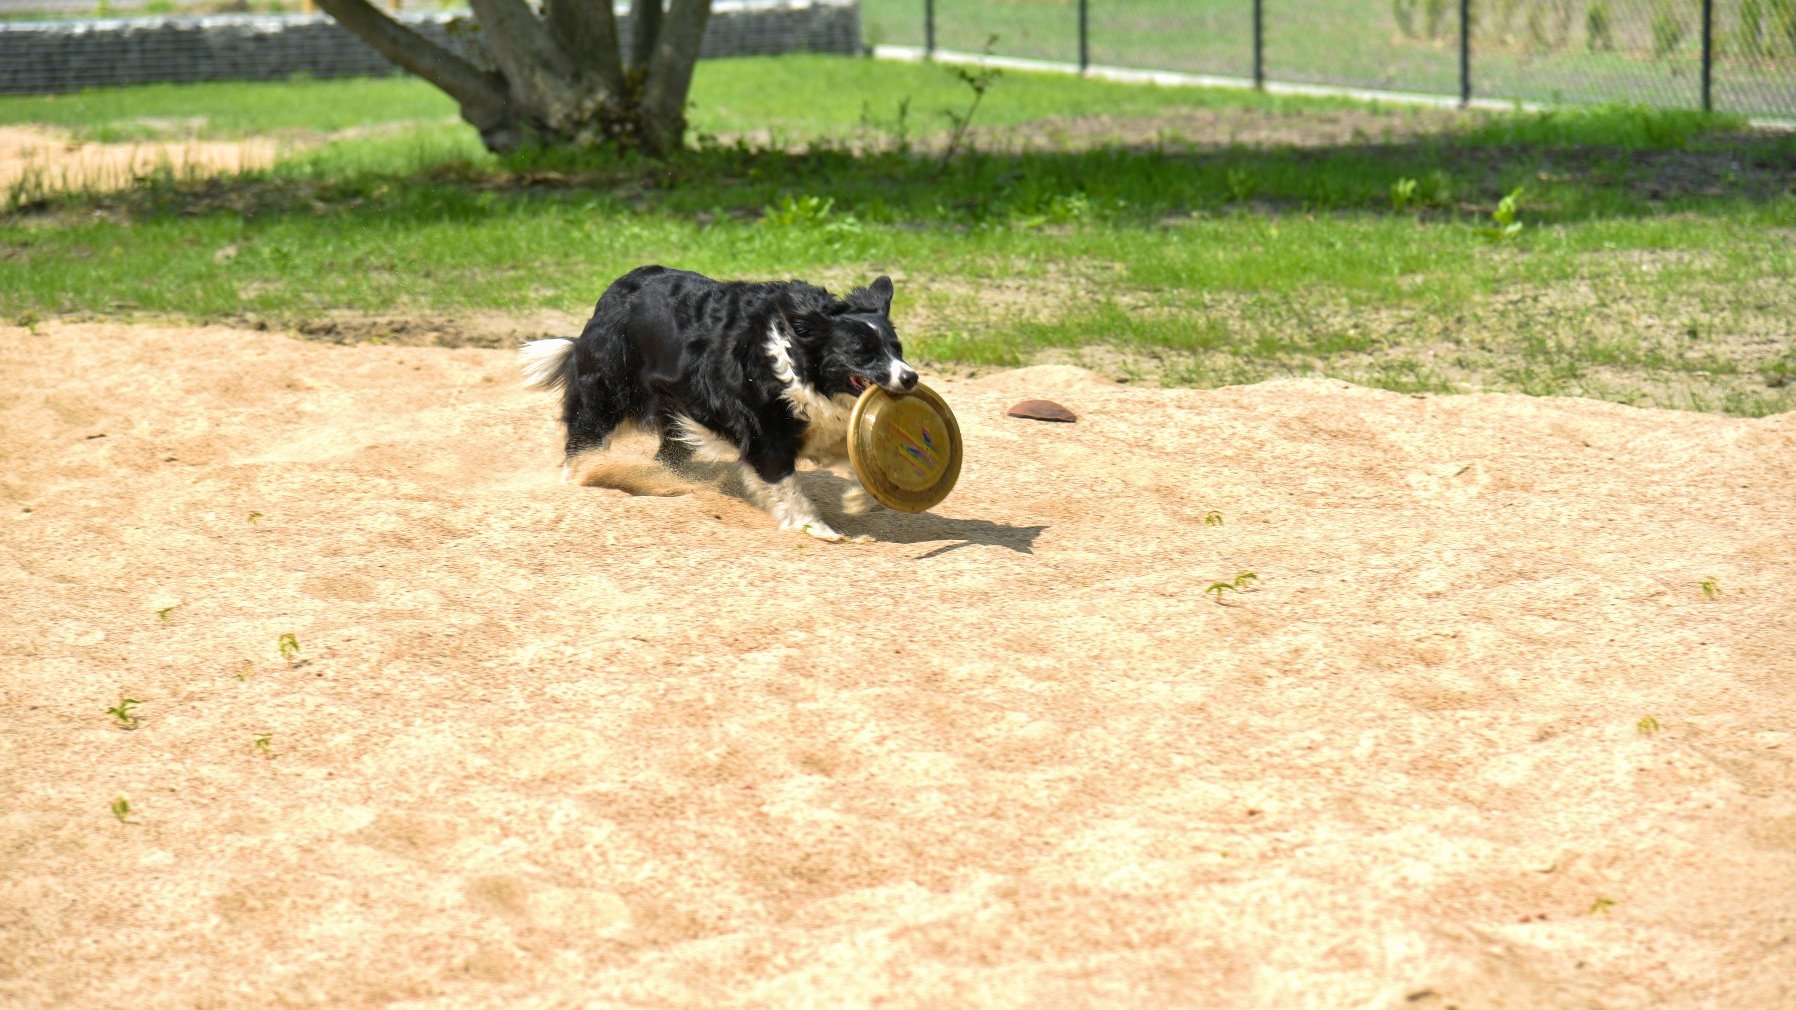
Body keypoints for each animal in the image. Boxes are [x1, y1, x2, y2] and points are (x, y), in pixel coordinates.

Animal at [517, 264, 912, 539]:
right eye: (862, 353)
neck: (797, 358)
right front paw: (816, 528)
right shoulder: (765, 433)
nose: (910, 378)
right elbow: (784, 482)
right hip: (608, 391)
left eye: (898, 349)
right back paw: (582, 479)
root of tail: (610, 295)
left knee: (667, 454)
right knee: (585, 438)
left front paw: (859, 499)